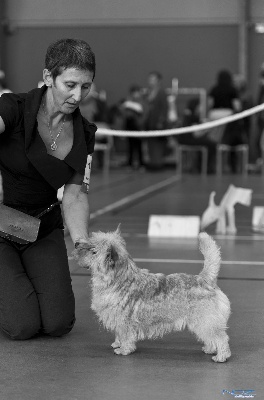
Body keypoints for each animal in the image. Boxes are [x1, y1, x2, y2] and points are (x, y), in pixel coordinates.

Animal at [73, 228, 230, 362]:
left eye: (93, 251)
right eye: (90, 239)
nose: (76, 243)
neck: (118, 279)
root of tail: (205, 279)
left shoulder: (124, 321)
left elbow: (125, 336)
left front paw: (124, 350)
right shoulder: (117, 319)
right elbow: (119, 334)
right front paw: (117, 344)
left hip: (205, 320)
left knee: (221, 337)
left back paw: (221, 356)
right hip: (203, 322)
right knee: (211, 337)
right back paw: (210, 349)